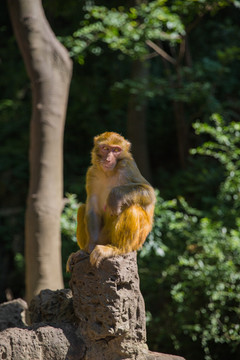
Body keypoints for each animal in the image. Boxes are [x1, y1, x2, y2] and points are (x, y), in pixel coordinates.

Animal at [66, 131, 156, 268]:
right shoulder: (92, 173)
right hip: (103, 237)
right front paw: (89, 247)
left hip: (136, 241)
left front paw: (115, 196)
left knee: (133, 209)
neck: (109, 173)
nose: (108, 159)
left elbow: (149, 192)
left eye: (116, 150)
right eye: (106, 148)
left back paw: (117, 249)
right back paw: (83, 251)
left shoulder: (127, 165)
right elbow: (92, 207)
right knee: (82, 208)